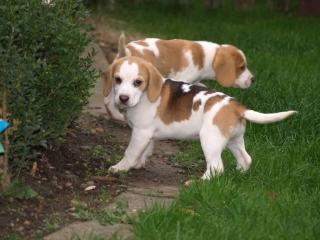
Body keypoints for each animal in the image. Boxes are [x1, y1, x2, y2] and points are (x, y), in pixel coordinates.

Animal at [103, 34, 255, 122]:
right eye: (242, 67)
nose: (253, 79)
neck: (205, 56)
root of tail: (126, 51)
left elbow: (202, 86)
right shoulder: (184, 79)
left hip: (116, 83)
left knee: (108, 100)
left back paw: (116, 115)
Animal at [106, 56, 296, 179]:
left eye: (138, 82)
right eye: (117, 79)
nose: (123, 98)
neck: (145, 95)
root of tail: (238, 107)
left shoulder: (140, 133)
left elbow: (130, 152)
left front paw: (120, 168)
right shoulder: (148, 135)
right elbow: (144, 151)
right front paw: (137, 164)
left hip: (210, 140)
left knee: (216, 168)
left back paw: (198, 183)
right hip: (232, 140)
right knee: (245, 159)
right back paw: (238, 175)